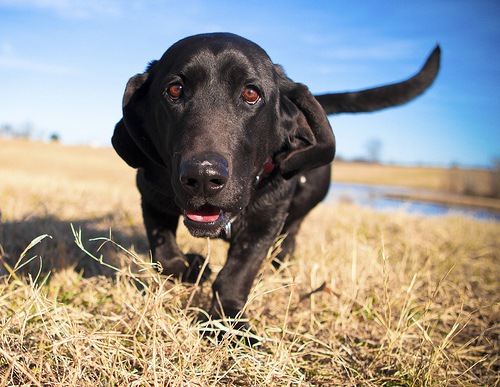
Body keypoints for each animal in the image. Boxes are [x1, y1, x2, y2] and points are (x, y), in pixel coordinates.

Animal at [111, 32, 440, 330]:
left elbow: (236, 276)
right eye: (175, 89)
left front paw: (230, 321)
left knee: (288, 243)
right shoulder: (152, 196)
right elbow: (164, 253)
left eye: (251, 93)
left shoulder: (265, 222)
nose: (203, 177)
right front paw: (191, 268)